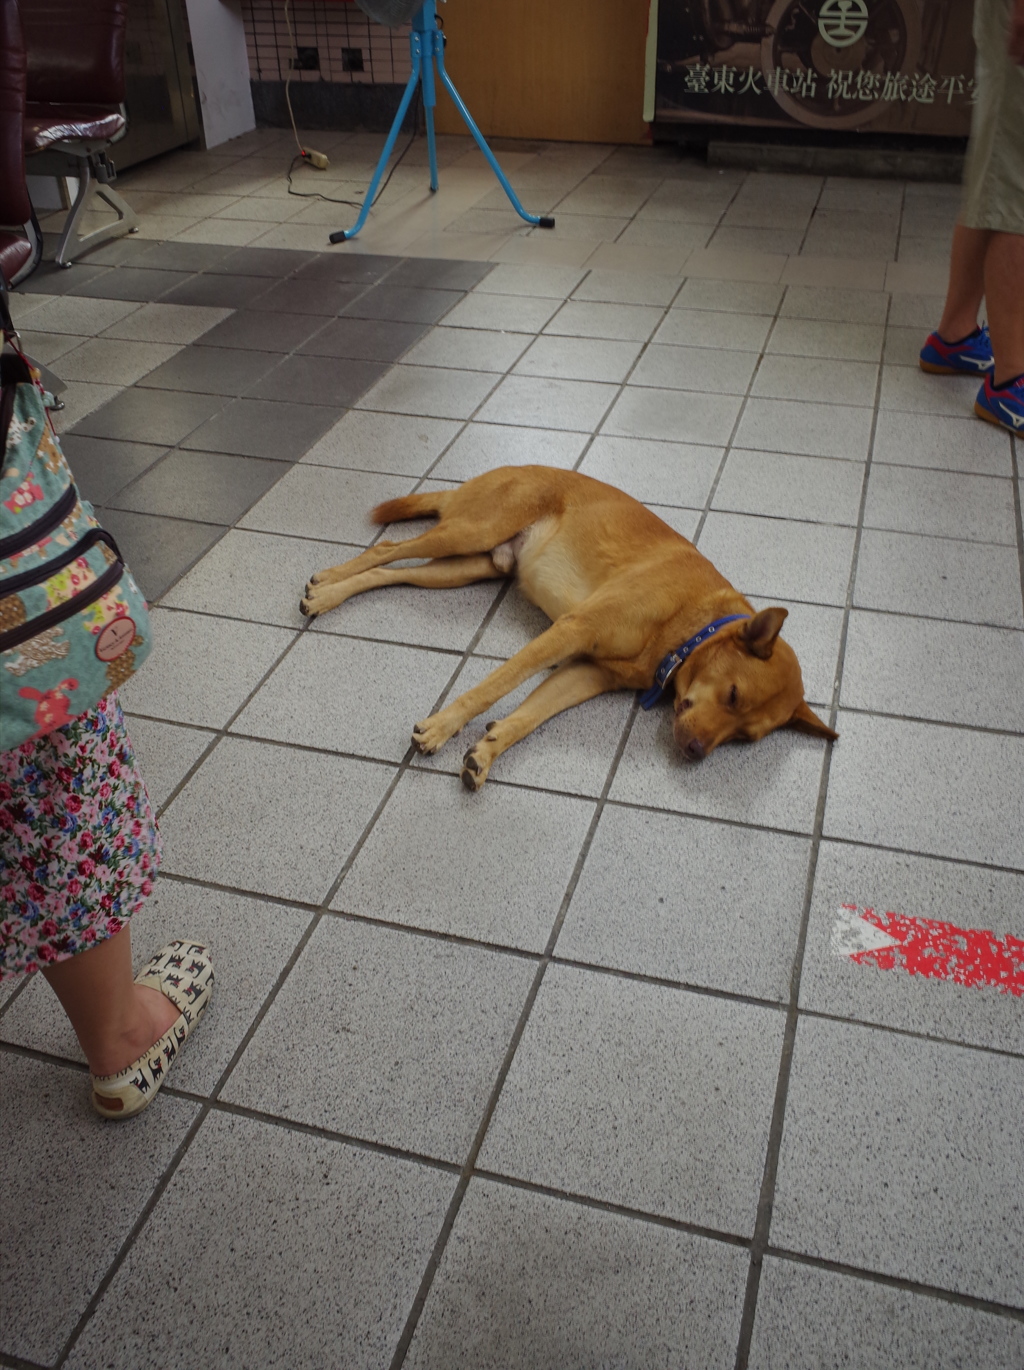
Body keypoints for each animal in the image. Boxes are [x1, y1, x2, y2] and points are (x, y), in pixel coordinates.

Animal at [300, 465, 838, 794]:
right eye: (732, 695)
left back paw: (330, 594)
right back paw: (327, 582)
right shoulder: (571, 631)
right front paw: (442, 725)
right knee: (386, 548)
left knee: (393, 571)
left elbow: (528, 716)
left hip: (465, 568)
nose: (694, 753)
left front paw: (487, 750)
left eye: (745, 738)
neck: (689, 626)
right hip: (470, 533)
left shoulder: (586, 674)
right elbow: (496, 685)